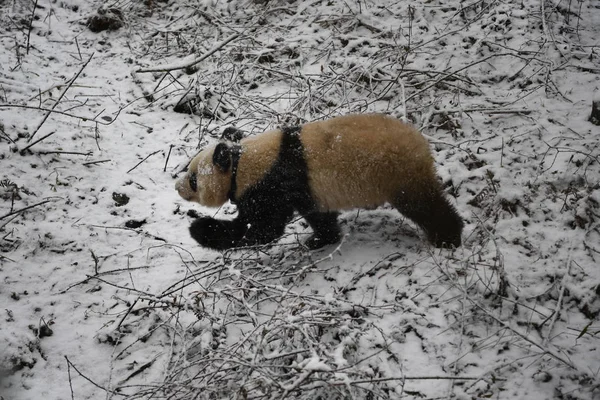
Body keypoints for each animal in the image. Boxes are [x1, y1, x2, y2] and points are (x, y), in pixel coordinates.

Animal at [175, 113, 464, 250]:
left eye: (193, 179)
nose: (177, 187)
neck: (241, 162)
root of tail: (421, 143)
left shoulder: (272, 181)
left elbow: (262, 228)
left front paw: (201, 229)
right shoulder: (306, 189)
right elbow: (318, 215)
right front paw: (322, 239)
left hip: (397, 172)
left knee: (423, 205)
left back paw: (448, 237)